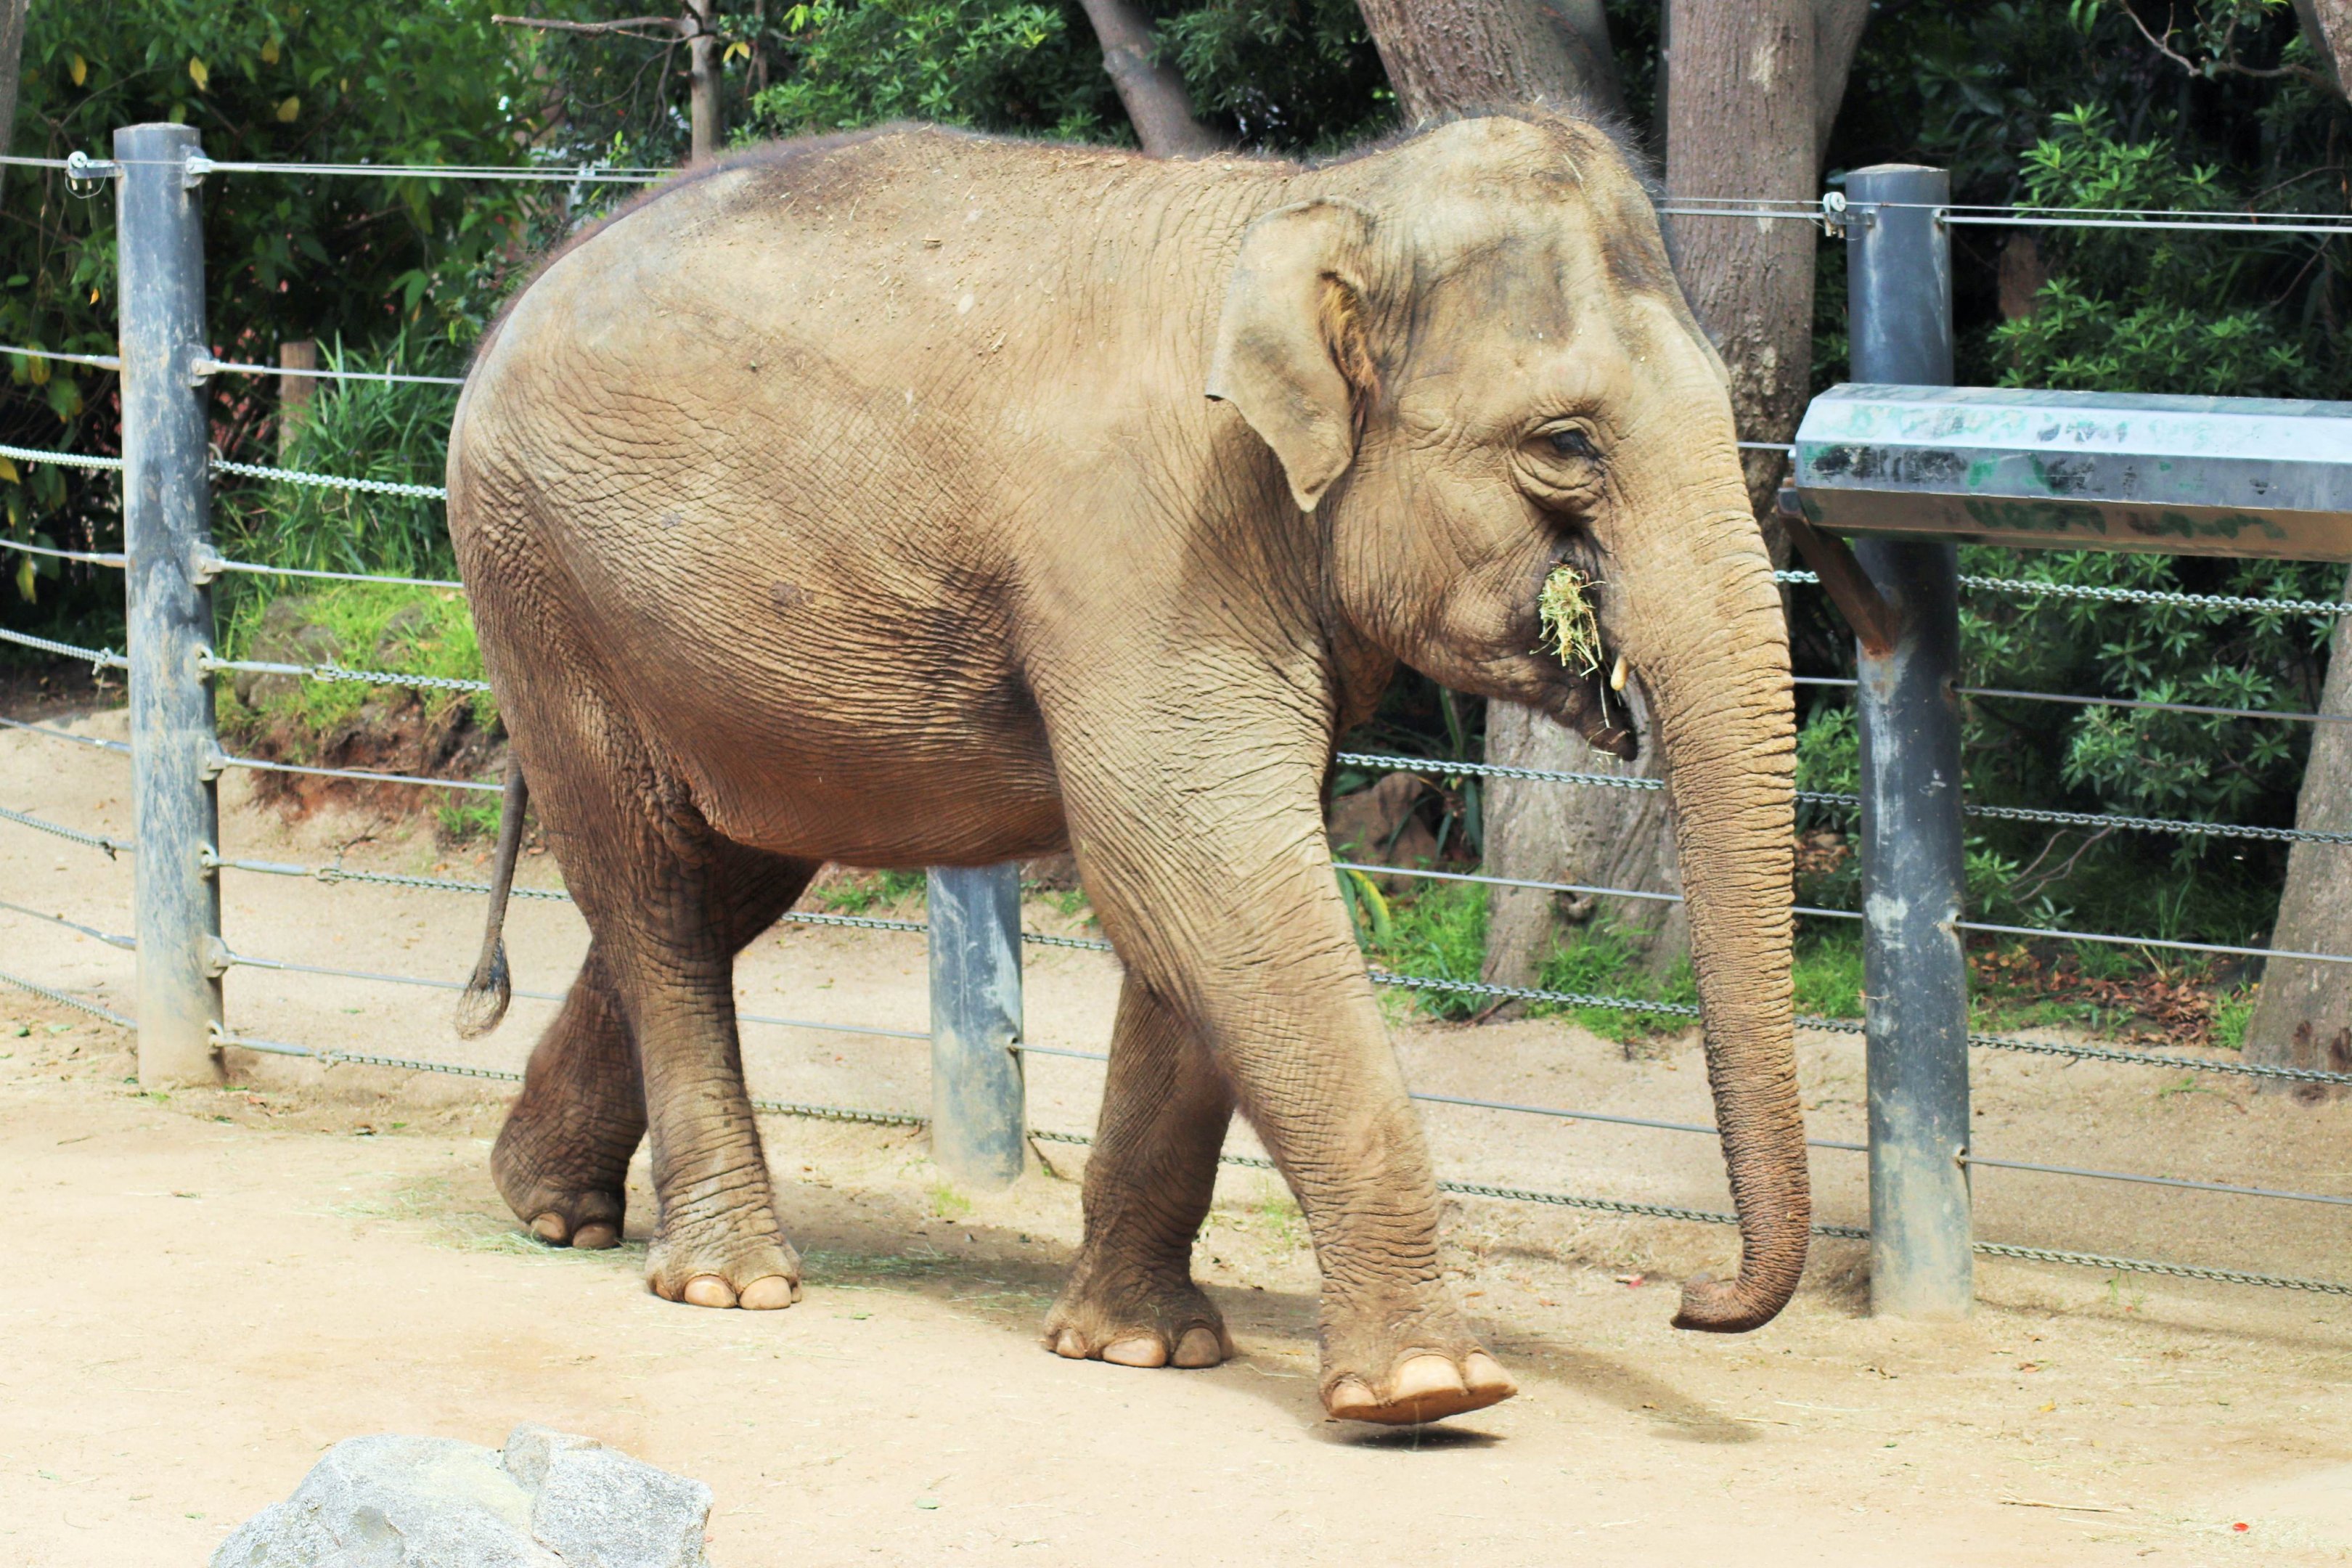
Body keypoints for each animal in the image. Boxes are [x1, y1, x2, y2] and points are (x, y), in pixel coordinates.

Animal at [446, 105, 1808, 1427]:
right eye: (1567, 443)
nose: (1691, 1301)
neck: (1321, 199)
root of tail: (526, 284)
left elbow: (1194, 908)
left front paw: (1142, 1349)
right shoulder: (1153, 547)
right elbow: (1197, 866)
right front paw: (1432, 1387)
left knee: (727, 875)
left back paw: (550, 1206)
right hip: (540, 586)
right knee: (651, 883)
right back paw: (732, 1282)